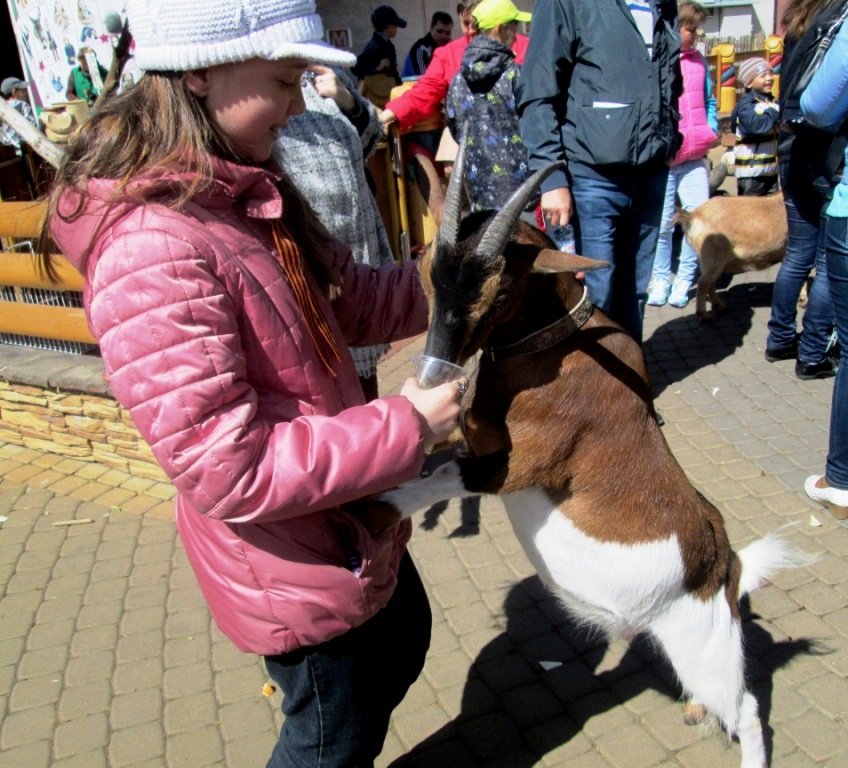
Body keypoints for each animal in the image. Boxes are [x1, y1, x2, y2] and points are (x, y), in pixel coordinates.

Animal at [676, 195, 788, 324]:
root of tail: (694, 215)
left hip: (708, 259)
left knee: (709, 282)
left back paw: (720, 306)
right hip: (715, 256)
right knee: (703, 283)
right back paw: (704, 315)